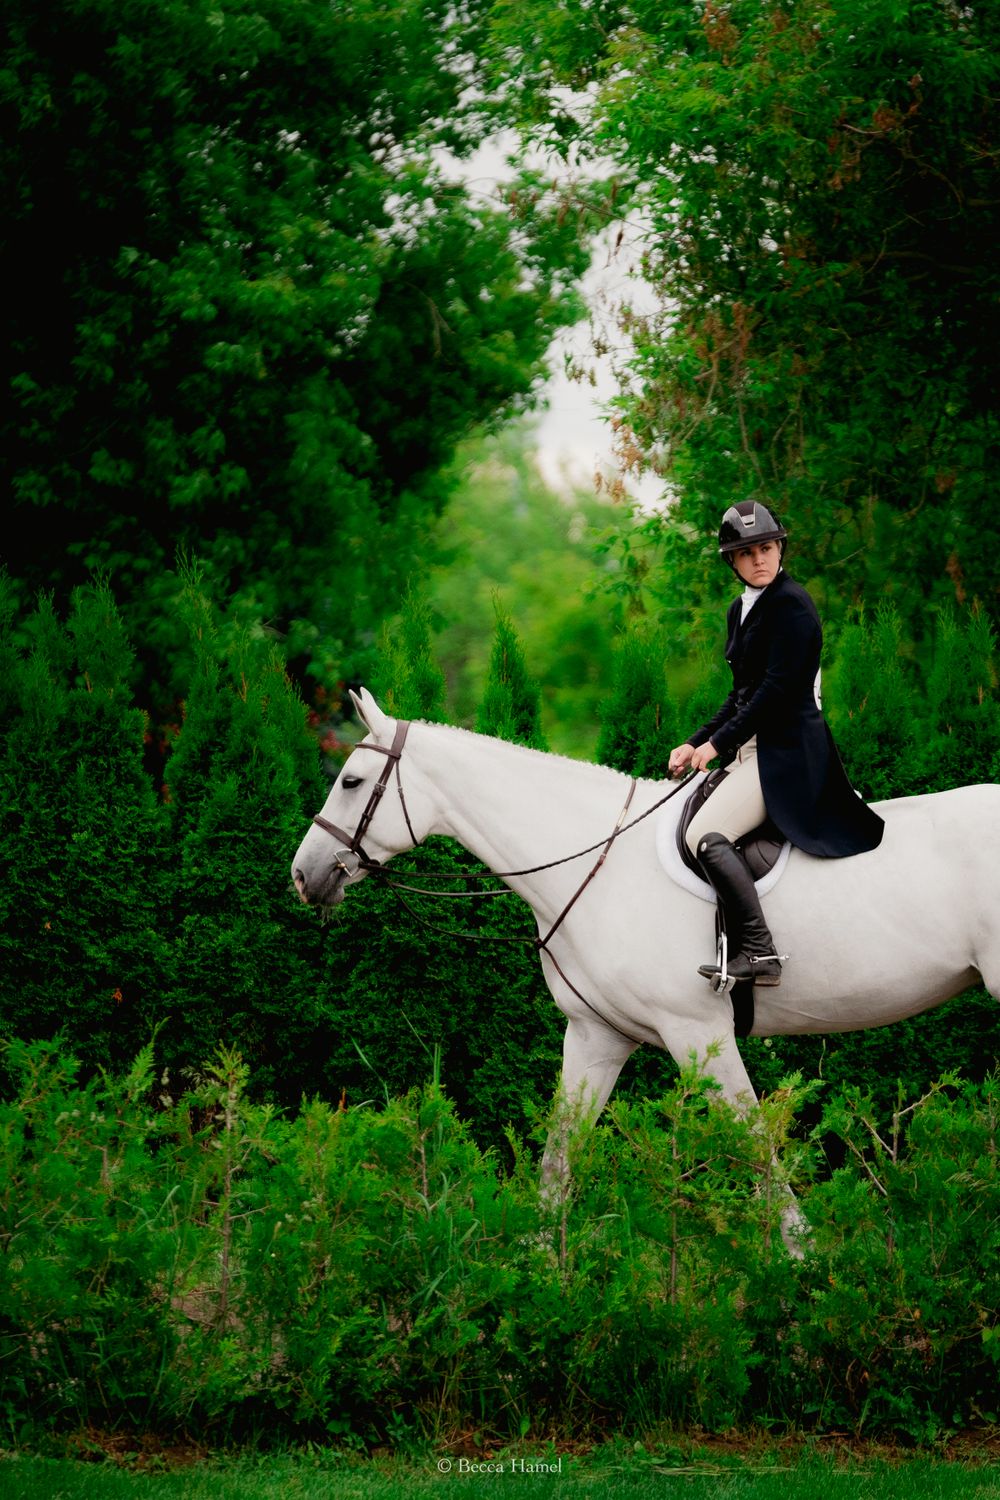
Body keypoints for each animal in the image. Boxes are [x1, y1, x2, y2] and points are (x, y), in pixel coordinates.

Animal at [291, 689, 999, 1239]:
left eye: (351, 782)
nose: (303, 875)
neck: (595, 864)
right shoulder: (596, 1035)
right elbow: (559, 1157)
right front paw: (541, 1270)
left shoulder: (696, 1032)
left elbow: (753, 1143)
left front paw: (799, 1261)